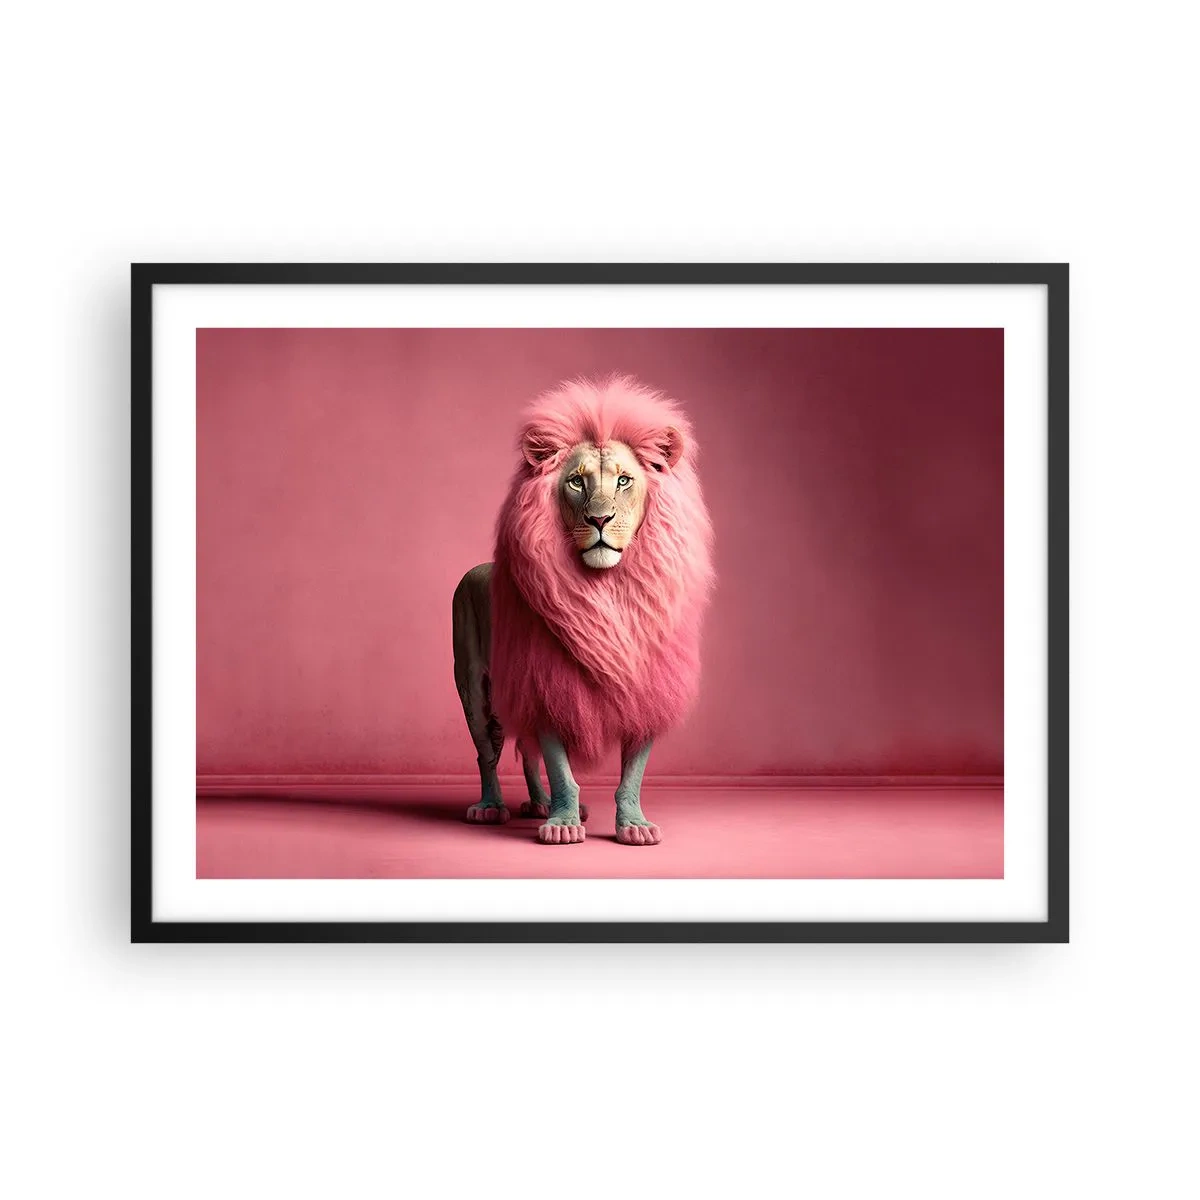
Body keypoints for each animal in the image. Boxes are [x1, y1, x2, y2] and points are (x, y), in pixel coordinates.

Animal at [453, 375, 714, 845]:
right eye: (576, 483)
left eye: (625, 480)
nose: (600, 520)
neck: (609, 590)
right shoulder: (544, 684)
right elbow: (561, 769)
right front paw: (562, 825)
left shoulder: (647, 690)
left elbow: (632, 775)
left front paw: (634, 827)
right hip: (476, 694)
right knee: (488, 755)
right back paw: (491, 807)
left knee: (527, 753)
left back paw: (538, 803)